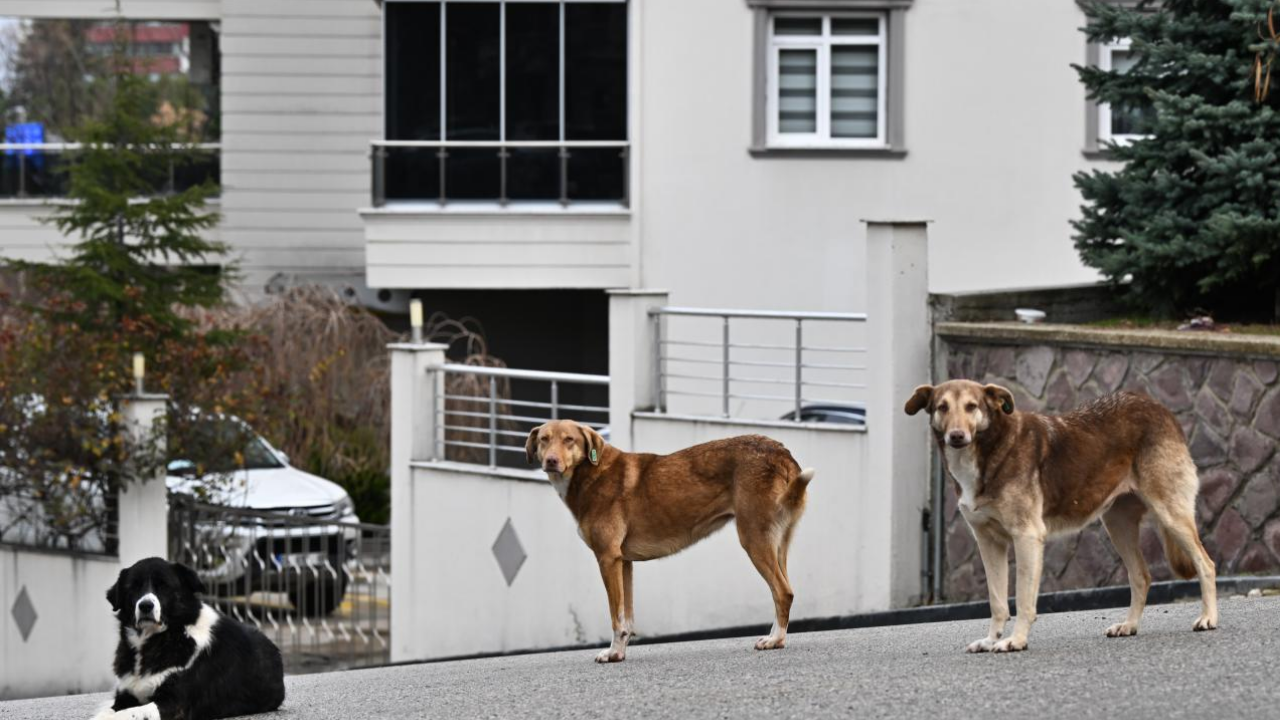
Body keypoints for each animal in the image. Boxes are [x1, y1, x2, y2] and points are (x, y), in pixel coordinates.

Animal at [93, 558, 285, 717]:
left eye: (164, 586)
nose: (146, 605)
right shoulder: (124, 696)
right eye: (133, 587)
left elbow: (131, 713)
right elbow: (109, 711)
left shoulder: (175, 702)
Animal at [524, 420, 814, 661]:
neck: (589, 474)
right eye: (544, 439)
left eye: (569, 440)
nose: (551, 461)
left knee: (782, 592)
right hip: (777, 544)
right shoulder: (623, 562)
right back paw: (777, 638)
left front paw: (612, 652)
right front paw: (620, 653)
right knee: (784, 591)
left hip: (754, 539)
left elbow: (616, 617)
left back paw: (775, 640)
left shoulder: (607, 559)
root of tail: (781, 452)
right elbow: (627, 617)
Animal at [906, 381, 1213, 650]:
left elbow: (1023, 600)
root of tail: (1158, 407)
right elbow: (997, 602)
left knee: (1205, 564)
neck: (990, 450)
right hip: (1118, 526)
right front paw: (992, 641)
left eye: (972, 406)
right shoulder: (989, 543)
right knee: (1141, 576)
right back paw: (1129, 625)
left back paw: (1208, 618)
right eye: (942, 407)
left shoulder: (1027, 537)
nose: (957, 436)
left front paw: (1016, 641)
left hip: (1170, 514)